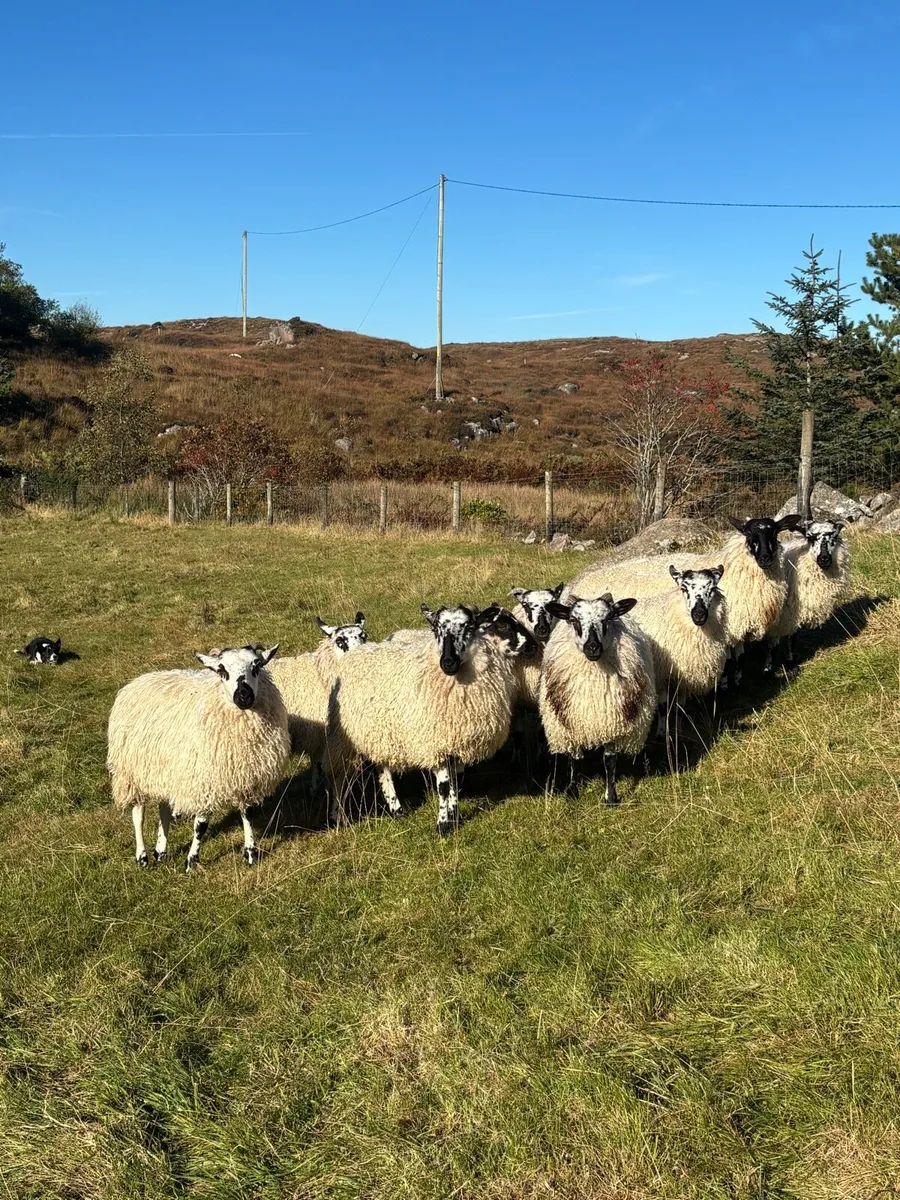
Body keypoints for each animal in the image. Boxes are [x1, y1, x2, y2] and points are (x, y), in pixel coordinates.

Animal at [108, 644, 289, 871]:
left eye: (256, 666)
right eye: (221, 670)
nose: (244, 696)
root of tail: (138, 680)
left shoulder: (245, 777)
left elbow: (247, 813)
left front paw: (251, 853)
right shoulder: (204, 781)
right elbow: (201, 825)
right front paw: (191, 861)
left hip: (165, 770)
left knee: (164, 808)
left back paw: (161, 851)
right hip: (131, 772)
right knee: (138, 814)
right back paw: (143, 857)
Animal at [268, 613, 367, 791]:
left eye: (364, 635)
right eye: (340, 641)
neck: (321, 675)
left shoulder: (317, 736)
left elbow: (316, 762)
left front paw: (314, 787)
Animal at [326, 603, 523, 835]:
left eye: (469, 627)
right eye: (436, 629)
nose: (448, 662)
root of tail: (357, 651)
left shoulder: (455, 741)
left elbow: (455, 781)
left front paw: (454, 815)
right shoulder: (435, 744)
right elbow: (444, 786)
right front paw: (443, 825)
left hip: (380, 732)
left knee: (383, 767)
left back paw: (396, 808)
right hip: (351, 737)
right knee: (348, 776)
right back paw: (345, 815)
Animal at [538, 593, 656, 805]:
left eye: (608, 618)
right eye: (573, 620)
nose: (592, 647)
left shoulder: (612, 723)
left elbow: (609, 760)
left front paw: (611, 797)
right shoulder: (571, 724)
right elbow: (575, 760)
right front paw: (571, 791)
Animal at [765, 519, 850, 668]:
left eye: (834, 536)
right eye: (810, 538)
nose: (824, 559)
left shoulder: (793, 613)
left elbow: (792, 639)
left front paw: (791, 663)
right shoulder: (778, 616)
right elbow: (773, 645)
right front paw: (768, 668)